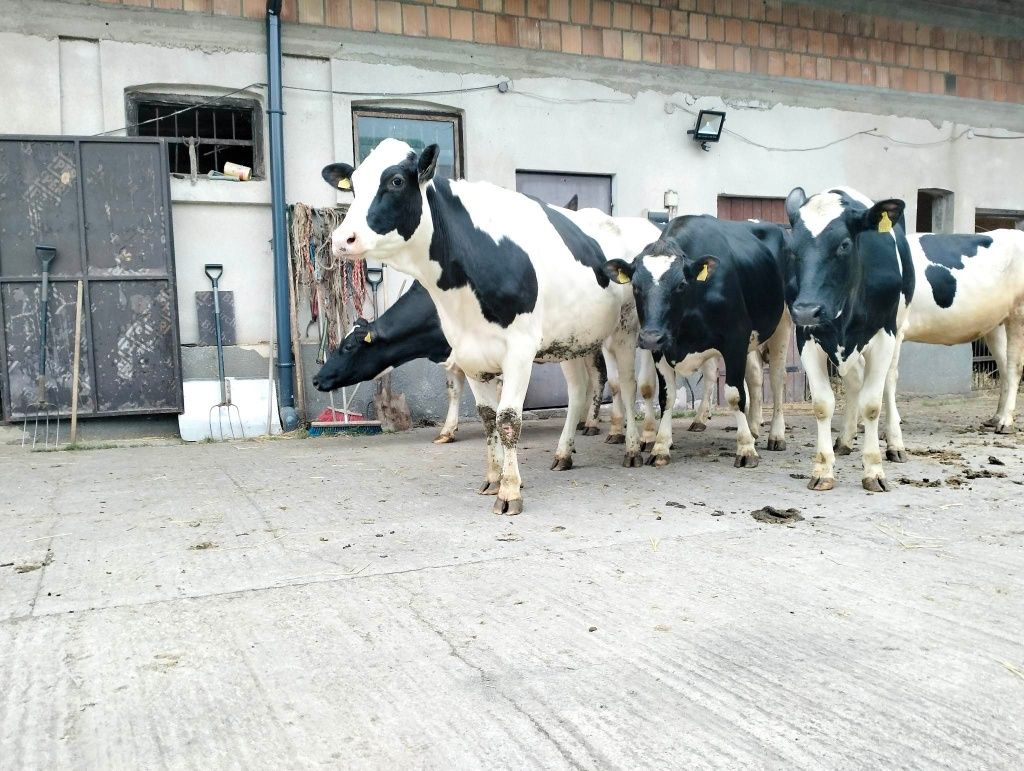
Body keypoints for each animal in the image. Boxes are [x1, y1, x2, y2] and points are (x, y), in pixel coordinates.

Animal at [323, 140, 651, 514]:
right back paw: (564, 453)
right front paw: (493, 479)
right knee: (578, 390)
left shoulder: (519, 350)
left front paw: (510, 491)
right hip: (568, 339)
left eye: (395, 181)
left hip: (623, 331)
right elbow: (486, 416)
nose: (342, 239)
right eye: (353, 185)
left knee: (625, 384)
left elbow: (508, 419)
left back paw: (631, 447)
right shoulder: (469, 353)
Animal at [598, 213, 790, 466]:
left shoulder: (735, 340)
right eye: (636, 286)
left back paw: (776, 435)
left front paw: (746, 449)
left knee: (777, 379)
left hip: (783, 323)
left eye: (681, 284)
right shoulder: (661, 349)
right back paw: (754, 429)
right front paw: (660, 446)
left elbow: (734, 395)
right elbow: (666, 397)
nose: (650, 337)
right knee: (756, 378)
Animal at [782, 183, 913, 489]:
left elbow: (872, 404)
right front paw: (823, 470)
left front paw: (873, 470)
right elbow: (822, 405)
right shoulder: (807, 338)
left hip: (899, 328)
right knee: (854, 380)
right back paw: (844, 438)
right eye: (792, 249)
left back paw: (894, 444)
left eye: (843, 244)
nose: (807, 310)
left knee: (889, 382)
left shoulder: (884, 335)